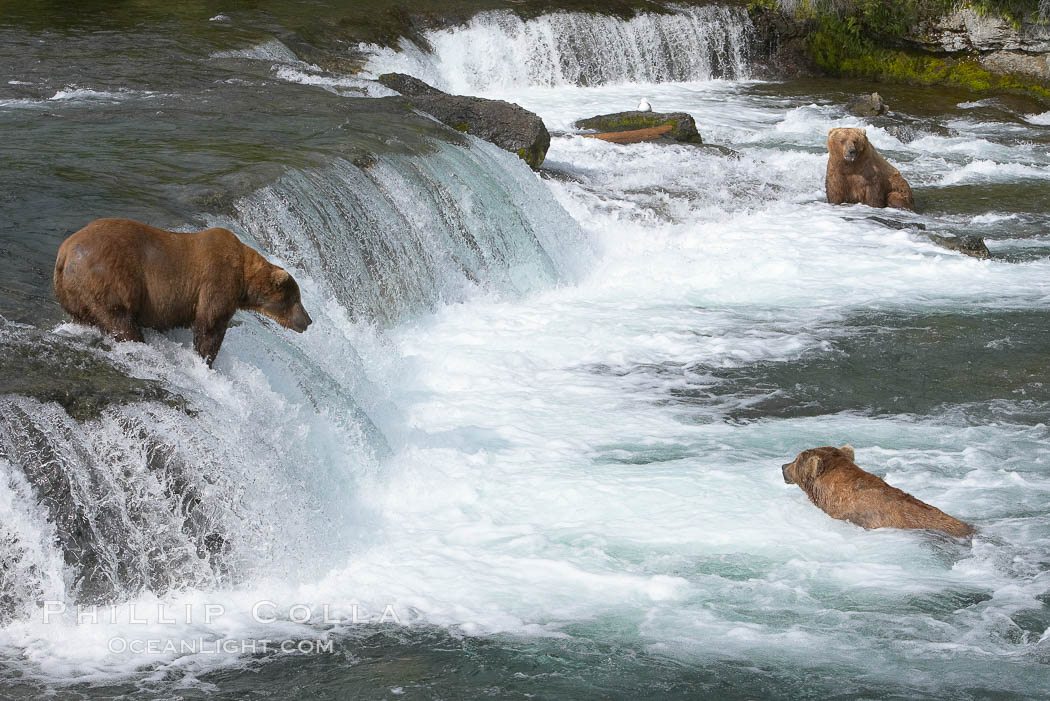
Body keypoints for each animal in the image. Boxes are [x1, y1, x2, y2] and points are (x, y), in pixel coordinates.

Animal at [54, 218, 311, 366]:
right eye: (296, 299)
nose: (308, 320)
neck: (244, 279)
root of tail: (64, 252)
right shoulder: (217, 280)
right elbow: (210, 325)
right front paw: (205, 360)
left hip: (73, 294)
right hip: (108, 278)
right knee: (120, 319)